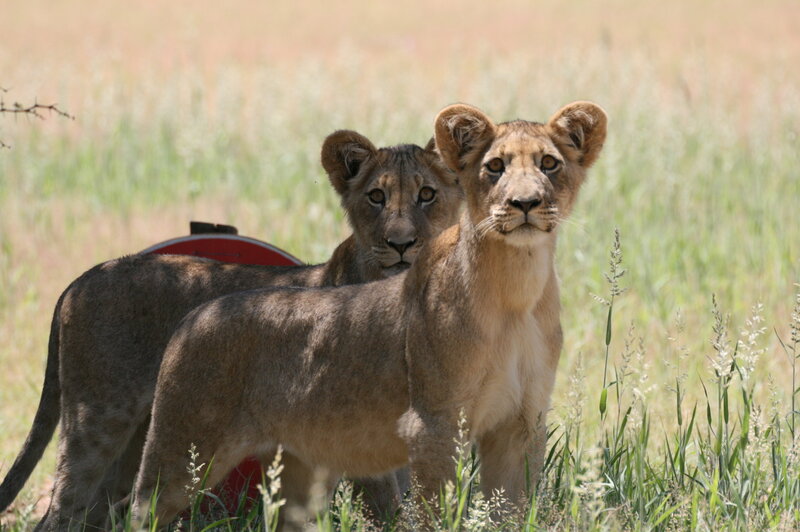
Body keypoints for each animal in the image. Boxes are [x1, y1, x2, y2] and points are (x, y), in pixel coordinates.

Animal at [0, 130, 464, 531]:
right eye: (376, 197)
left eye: (427, 195)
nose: (402, 244)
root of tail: (81, 279)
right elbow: (389, 510)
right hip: (97, 421)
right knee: (61, 514)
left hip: (140, 438)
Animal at [128, 101, 607, 527]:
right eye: (495, 166)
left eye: (549, 163)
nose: (525, 202)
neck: (515, 292)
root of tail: (198, 312)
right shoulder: (434, 426)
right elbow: (434, 514)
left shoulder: (519, 425)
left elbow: (509, 511)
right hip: (183, 453)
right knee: (137, 511)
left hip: (299, 469)